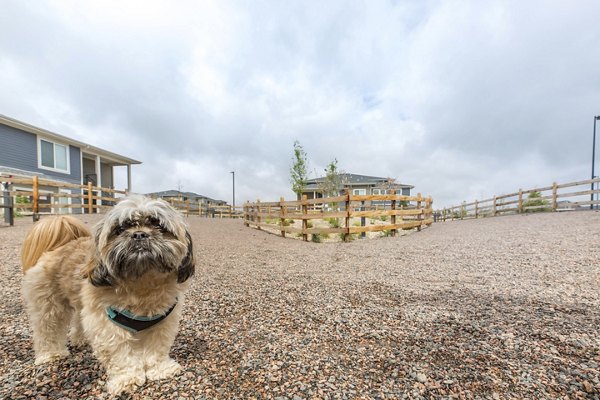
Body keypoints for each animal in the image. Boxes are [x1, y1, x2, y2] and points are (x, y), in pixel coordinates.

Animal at [20, 195, 195, 396]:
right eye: (120, 229)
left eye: (158, 225)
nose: (139, 234)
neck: (142, 285)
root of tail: (61, 245)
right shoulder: (107, 325)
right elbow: (120, 354)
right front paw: (127, 378)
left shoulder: (162, 322)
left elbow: (157, 347)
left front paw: (160, 369)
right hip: (48, 303)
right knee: (47, 328)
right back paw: (51, 354)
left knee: (78, 320)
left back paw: (80, 339)